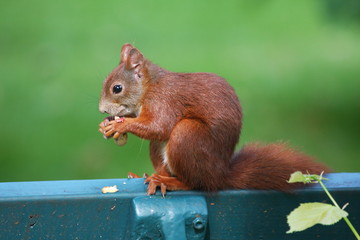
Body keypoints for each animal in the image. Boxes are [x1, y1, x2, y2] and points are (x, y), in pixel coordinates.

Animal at [97, 44, 330, 196]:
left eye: (117, 88)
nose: (101, 109)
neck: (149, 87)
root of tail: (219, 176)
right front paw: (106, 123)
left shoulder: (165, 101)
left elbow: (159, 126)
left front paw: (121, 124)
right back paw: (151, 176)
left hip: (187, 135)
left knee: (196, 184)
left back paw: (170, 182)